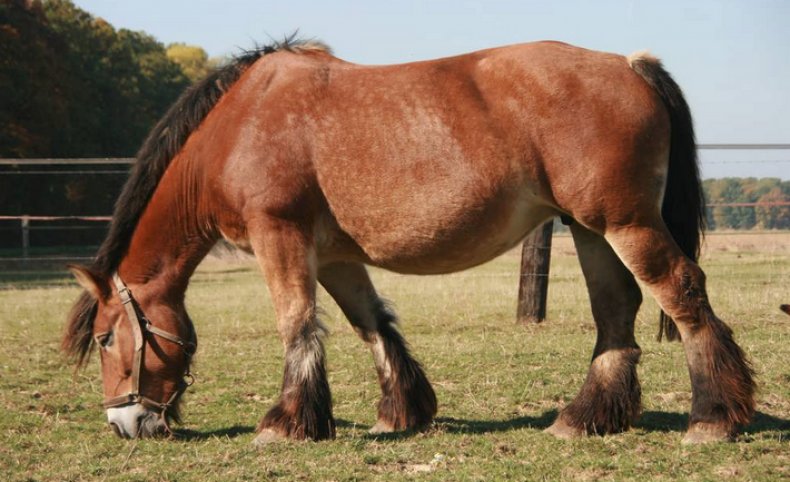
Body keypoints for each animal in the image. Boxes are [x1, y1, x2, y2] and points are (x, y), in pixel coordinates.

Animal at [60, 36, 756, 444]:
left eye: (106, 339)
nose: (123, 423)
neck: (240, 125)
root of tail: (631, 65)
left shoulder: (279, 235)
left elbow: (297, 324)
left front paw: (287, 422)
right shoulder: (335, 256)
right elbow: (370, 323)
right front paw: (401, 409)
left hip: (625, 223)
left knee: (683, 294)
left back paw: (712, 418)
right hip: (589, 229)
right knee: (616, 312)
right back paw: (583, 417)